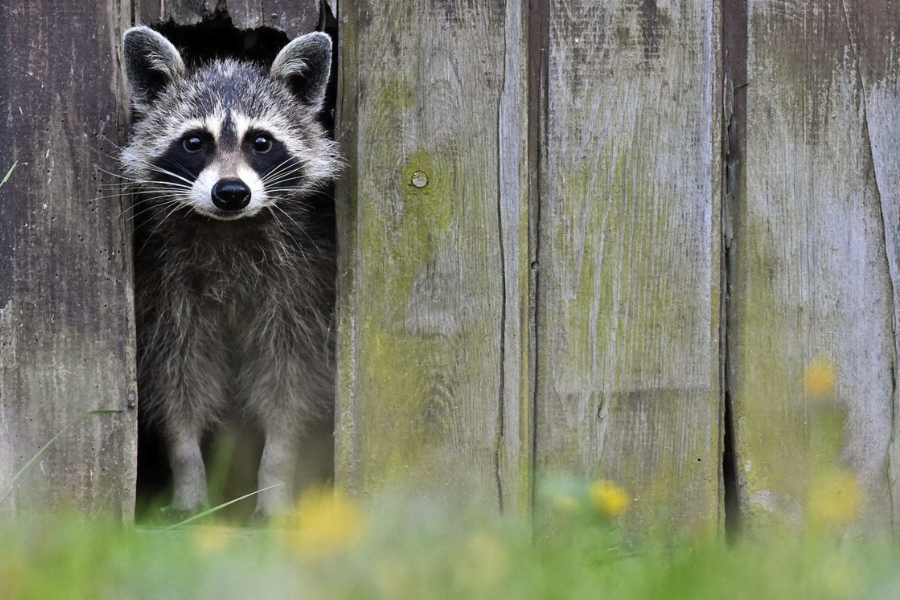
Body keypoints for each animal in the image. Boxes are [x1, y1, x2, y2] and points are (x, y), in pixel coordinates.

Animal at [121, 27, 340, 516]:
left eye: (261, 142)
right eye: (194, 142)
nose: (232, 192)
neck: (228, 228)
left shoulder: (301, 287)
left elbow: (289, 382)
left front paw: (277, 469)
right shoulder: (165, 292)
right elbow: (177, 379)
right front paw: (187, 467)